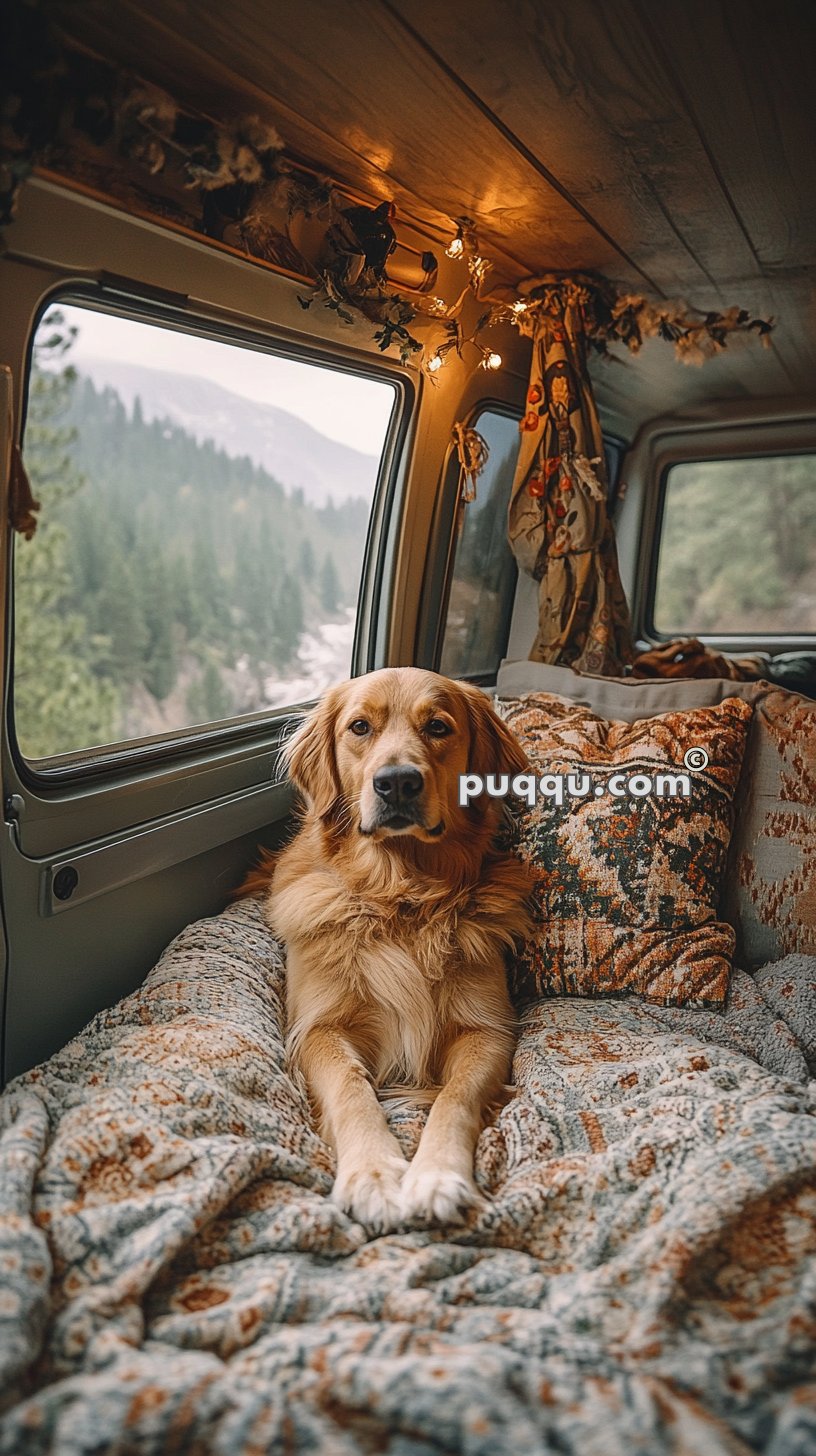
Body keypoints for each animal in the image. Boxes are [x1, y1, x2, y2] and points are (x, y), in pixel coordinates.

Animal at [255, 666, 536, 1228]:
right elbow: (351, 1088)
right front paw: (374, 1175)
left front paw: (437, 1177)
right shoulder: (318, 1028)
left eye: (438, 727)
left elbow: (455, 1096)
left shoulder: (486, 1028)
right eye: (360, 727)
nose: (398, 782)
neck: (400, 895)